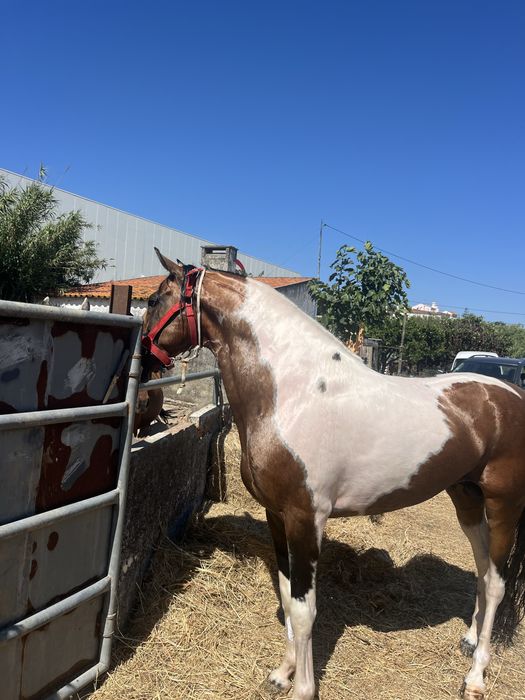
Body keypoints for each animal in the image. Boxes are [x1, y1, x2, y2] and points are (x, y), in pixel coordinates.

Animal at [141, 249, 525, 700]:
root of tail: (510, 395)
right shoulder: (277, 516)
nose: (142, 364)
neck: (294, 393)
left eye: (153, 301)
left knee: (497, 581)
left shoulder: (306, 518)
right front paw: (283, 672)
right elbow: (288, 599)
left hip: (503, 504)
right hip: (465, 495)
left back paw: (476, 676)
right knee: (482, 569)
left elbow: (305, 610)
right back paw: (468, 639)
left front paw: (303, 688)